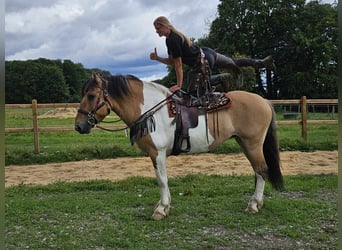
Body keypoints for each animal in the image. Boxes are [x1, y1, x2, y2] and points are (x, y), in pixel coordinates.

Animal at [75, 72, 284, 221]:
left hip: (252, 144)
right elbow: (164, 180)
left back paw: (253, 205)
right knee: (257, 171)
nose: (79, 126)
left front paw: (161, 210)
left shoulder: (157, 153)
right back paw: (257, 203)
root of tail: (263, 101)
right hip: (245, 143)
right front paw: (164, 206)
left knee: (261, 170)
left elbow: (161, 180)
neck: (149, 109)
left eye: (91, 95)